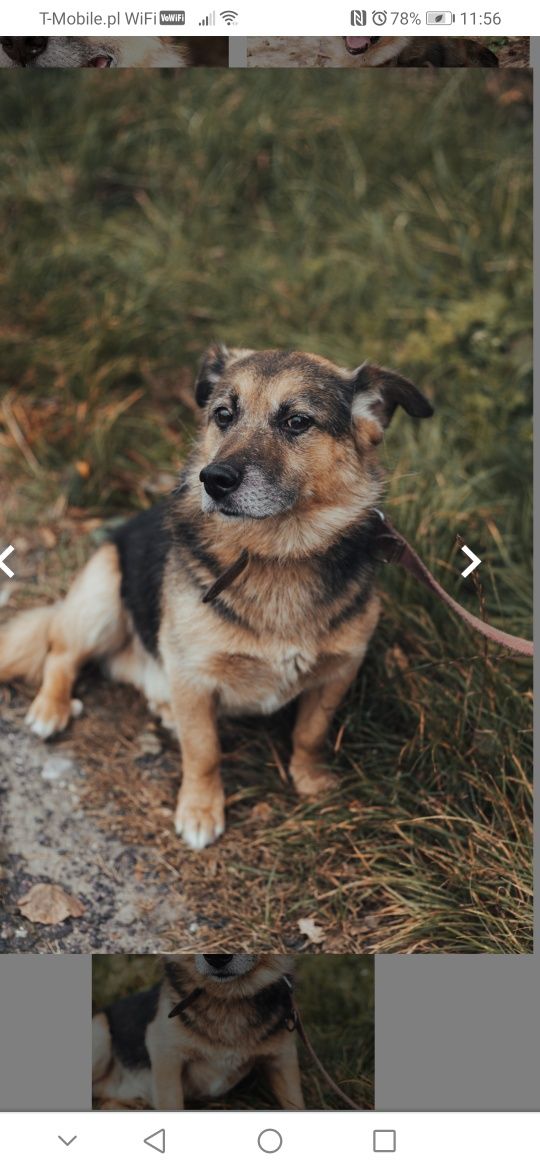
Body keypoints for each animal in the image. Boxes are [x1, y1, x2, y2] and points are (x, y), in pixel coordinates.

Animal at [0, 346, 432, 851]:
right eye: (223, 415)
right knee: (60, 654)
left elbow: (310, 732)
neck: (277, 554)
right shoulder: (194, 676)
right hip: (101, 597)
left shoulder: (339, 670)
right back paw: (50, 709)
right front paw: (201, 809)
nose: (215, 479)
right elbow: (203, 750)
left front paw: (310, 780)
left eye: (297, 421)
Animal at [92, 954, 303, 1109]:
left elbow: (297, 1104)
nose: (216, 957)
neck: (228, 999)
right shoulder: (166, 1058)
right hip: (101, 1033)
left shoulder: (283, 1060)